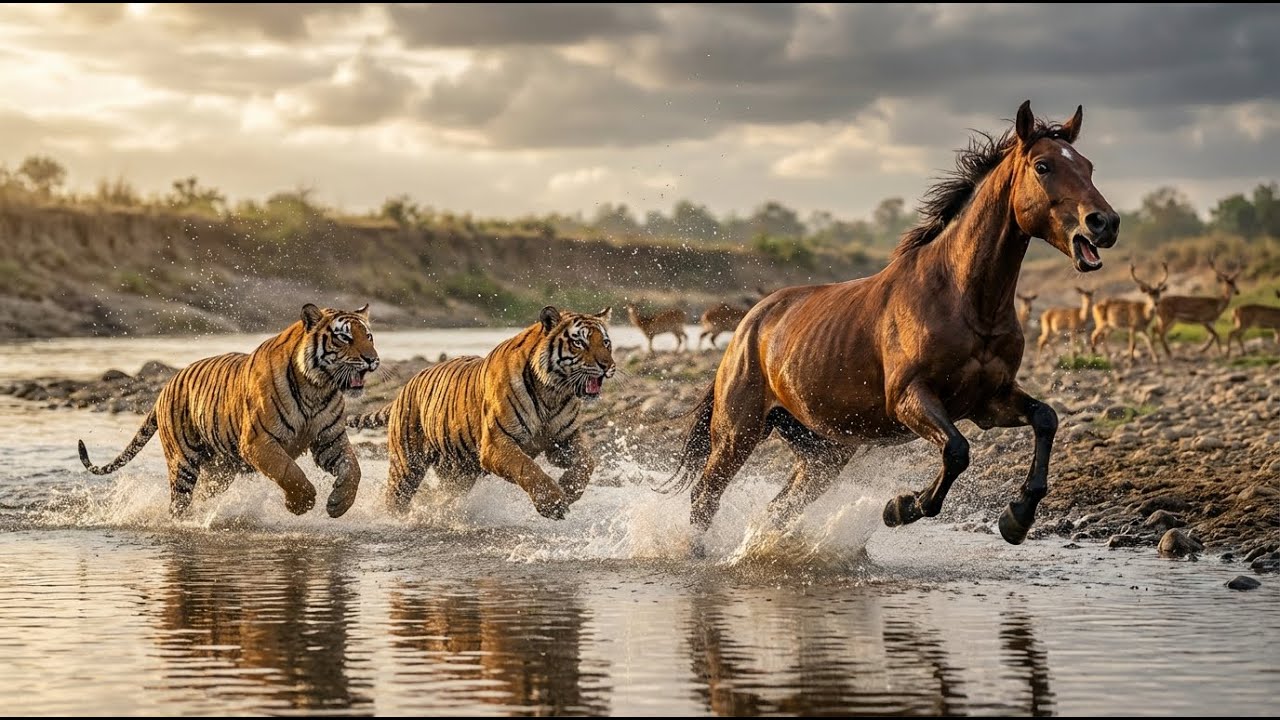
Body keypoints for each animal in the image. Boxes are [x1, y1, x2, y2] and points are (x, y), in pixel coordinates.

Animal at [665, 101, 1119, 547]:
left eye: (1089, 166)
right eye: (1043, 166)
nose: (1105, 223)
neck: (965, 300)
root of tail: (750, 324)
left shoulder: (989, 400)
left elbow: (1045, 419)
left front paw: (1016, 519)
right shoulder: (908, 397)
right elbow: (957, 450)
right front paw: (900, 508)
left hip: (823, 452)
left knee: (778, 507)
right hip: (738, 433)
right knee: (704, 496)